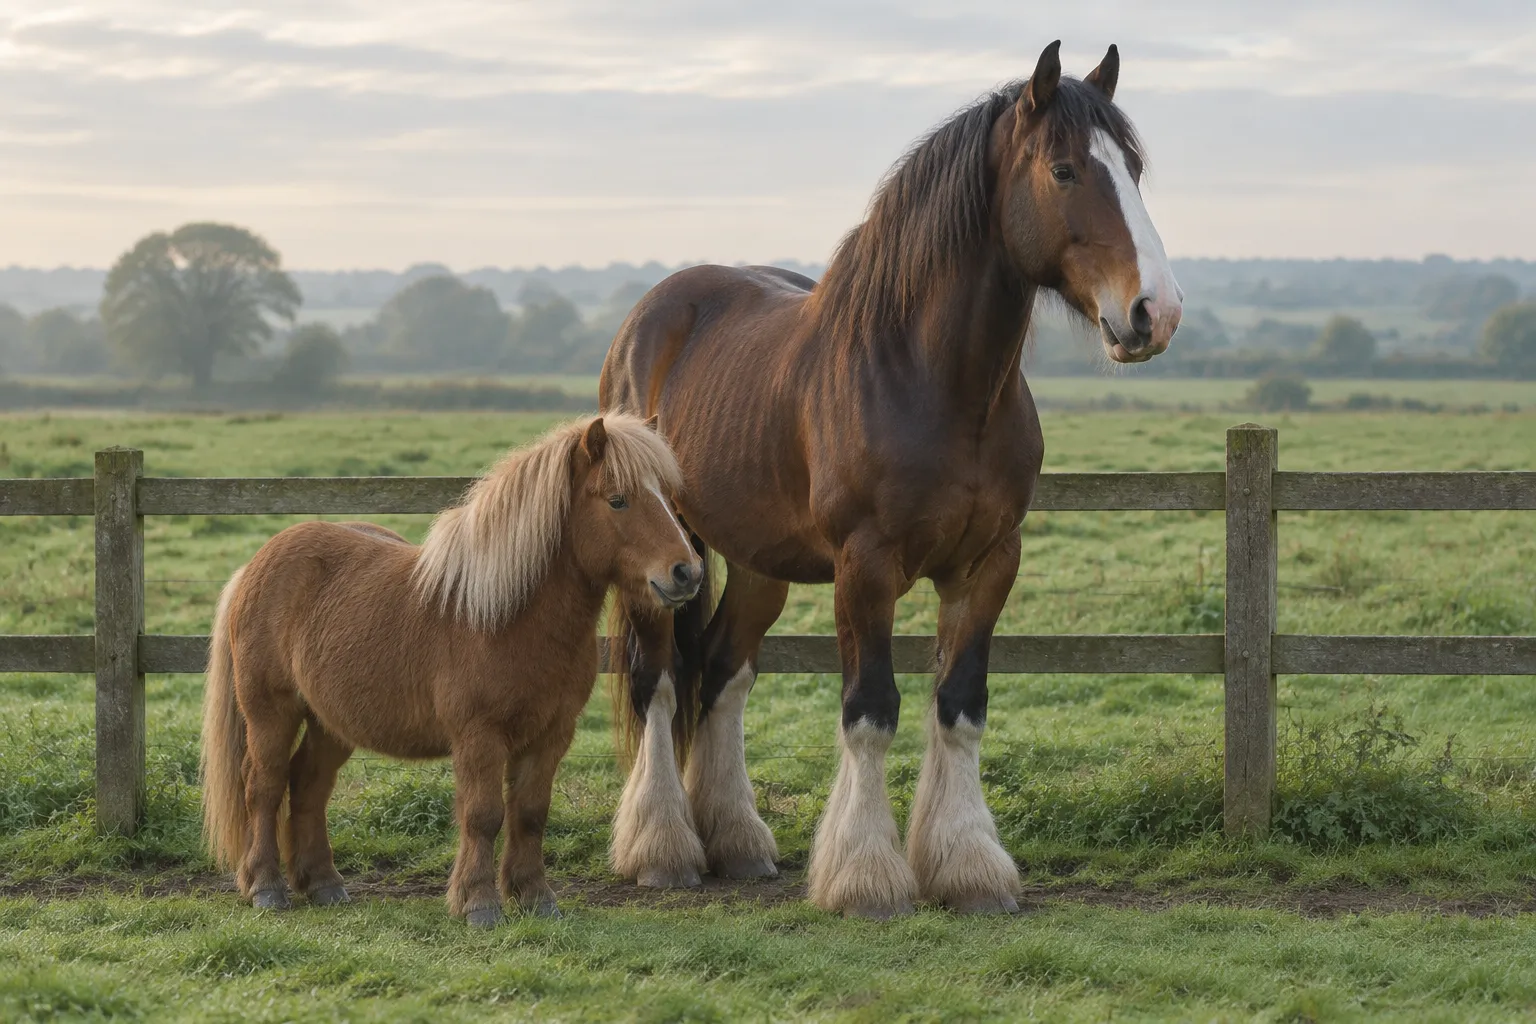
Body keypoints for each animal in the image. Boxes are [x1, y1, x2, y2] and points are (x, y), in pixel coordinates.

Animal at [199, 414, 701, 927]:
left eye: (667, 496)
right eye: (617, 499)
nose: (688, 572)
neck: (507, 617)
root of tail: (252, 568)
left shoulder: (552, 735)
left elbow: (530, 813)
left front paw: (535, 896)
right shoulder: (479, 736)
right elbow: (483, 815)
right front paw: (479, 902)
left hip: (330, 723)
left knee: (307, 785)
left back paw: (323, 884)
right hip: (270, 714)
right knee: (264, 786)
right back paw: (266, 887)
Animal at [599, 41, 1182, 918]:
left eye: (1135, 169)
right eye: (1065, 169)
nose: (1156, 312)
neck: (935, 381)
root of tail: (648, 319)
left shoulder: (988, 565)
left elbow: (960, 706)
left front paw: (969, 868)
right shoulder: (865, 568)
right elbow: (870, 712)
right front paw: (866, 878)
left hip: (759, 561)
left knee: (724, 676)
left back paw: (736, 842)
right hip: (662, 556)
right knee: (660, 682)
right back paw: (663, 848)